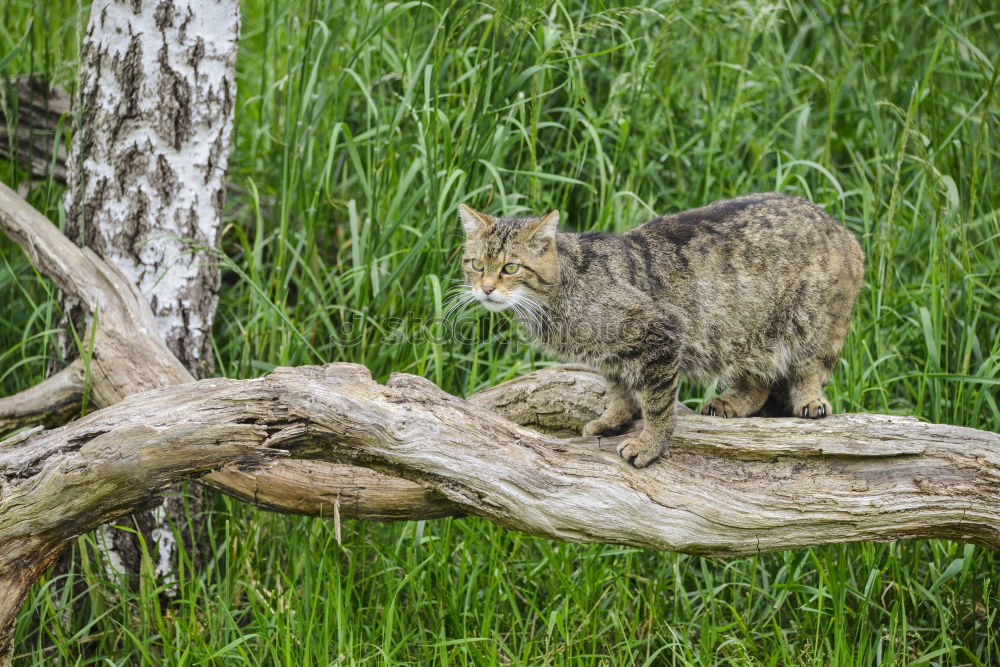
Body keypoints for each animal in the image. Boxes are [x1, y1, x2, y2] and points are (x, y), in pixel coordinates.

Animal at [458, 192, 860, 464]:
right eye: (476, 264)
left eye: (510, 268)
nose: (486, 289)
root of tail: (841, 227)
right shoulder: (610, 353)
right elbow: (617, 390)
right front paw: (613, 421)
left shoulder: (660, 332)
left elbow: (657, 404)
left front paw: (649, 445)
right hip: (743, 333)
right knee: (759, 380)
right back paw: (734, 401)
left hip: (809, 322)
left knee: (808, 367)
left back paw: (810, 400)